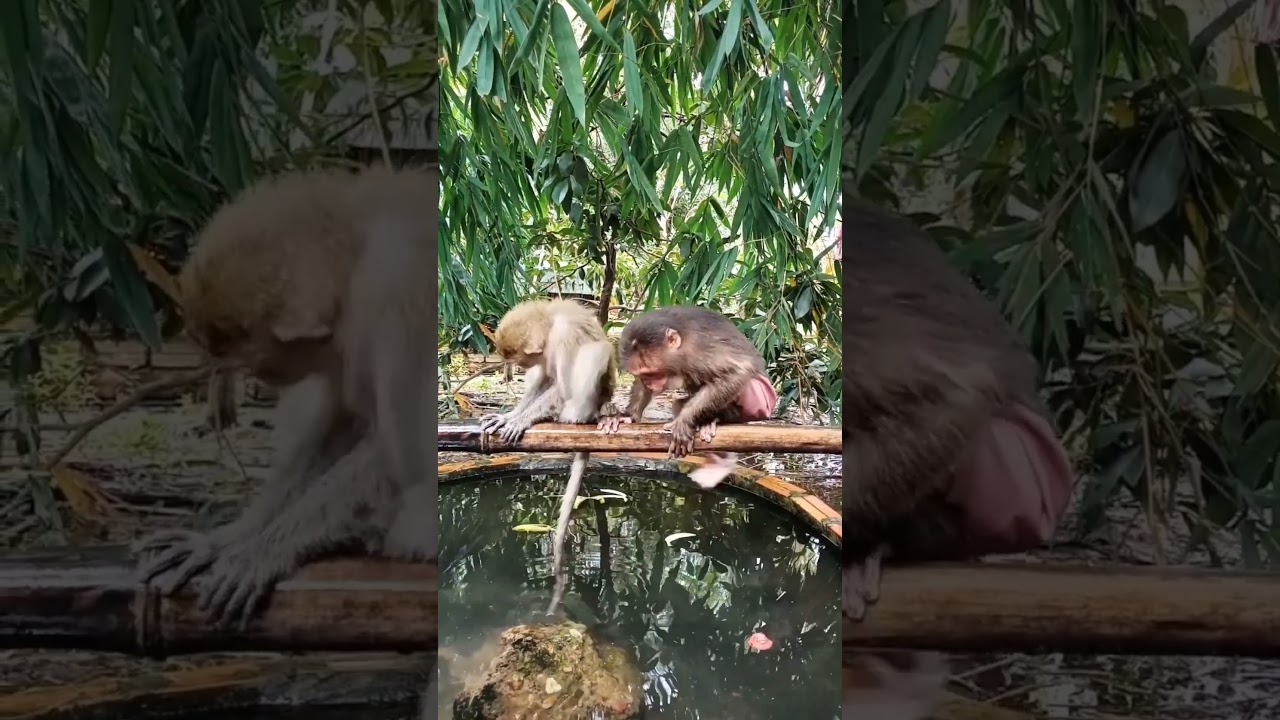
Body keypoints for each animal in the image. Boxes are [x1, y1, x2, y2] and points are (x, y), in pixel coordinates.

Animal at [132, 165, 438, 636]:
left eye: (263, 367)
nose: (261, 380)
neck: (358, 241)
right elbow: (341, 421)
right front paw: (233, 537)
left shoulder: (399, 292)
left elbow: (401, 450)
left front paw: (261, 552)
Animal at [478, 298, 619, 614]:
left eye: (520, 359)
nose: (517, 367)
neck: (551, 321)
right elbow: (544, 377)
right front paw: (512, 416)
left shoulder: (563, 338)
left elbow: (560, 385)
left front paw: (520, 419)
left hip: (587, 402)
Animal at [603, 305, 778, 487]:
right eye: (643, 375)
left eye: (652, 373)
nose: (649, 384)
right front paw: (627, 415)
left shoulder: (698, 350)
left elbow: (736, 372)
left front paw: (684, 421)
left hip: (758, 400)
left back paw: (712, 421)